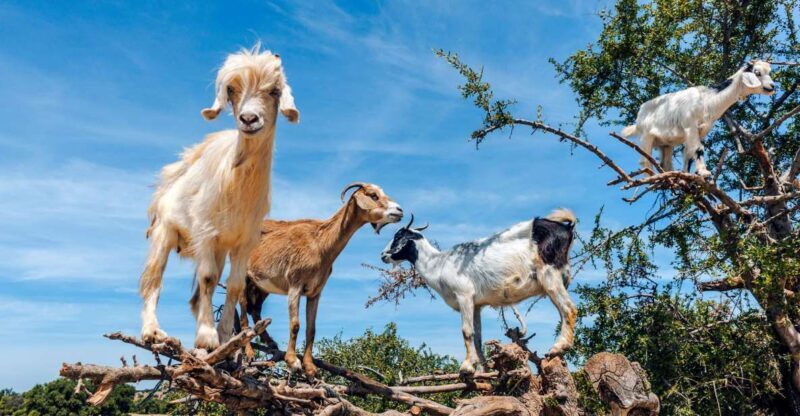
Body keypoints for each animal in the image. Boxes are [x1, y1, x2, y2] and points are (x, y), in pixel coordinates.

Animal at [139, 45, 300, 351]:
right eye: (231, 89)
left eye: (274, 90)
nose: (249, 119)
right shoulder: (205, 232)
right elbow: (208, 277)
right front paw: (206, 337)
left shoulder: (243, 241)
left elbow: (234, 286)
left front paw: (225, 336)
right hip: (164, 231)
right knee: (152, 280)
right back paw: (152, 332)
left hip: (220, 248)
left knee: (196, 295)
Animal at [242, 183, 403, 377]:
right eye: (373, 195)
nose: (399, 210)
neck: (320, 243)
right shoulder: (295, 284)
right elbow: (295, 324)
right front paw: (292, 361)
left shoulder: (315, 291)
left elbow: (311, 328)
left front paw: (310, 367)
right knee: (242, 310)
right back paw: (249, 353)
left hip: (261, 285)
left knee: (254, 309)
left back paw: (270, 343)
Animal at [381, 210, 577, 375]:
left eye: (398, 236)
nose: (383, 255)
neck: (439, 263)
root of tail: (566, 227)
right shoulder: (476, 305)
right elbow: (477, 337)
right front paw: (483, 370)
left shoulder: (464, 295)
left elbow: (466, 331)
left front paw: (466, 367)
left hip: (549, 274)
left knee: (569, 309)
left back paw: (558, 347)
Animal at [621, 61, 775, 177]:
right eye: (757, 72)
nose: (772, 86)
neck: (706, 100)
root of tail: (639, 116)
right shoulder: (690, 125)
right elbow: (698, 148)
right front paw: (704, 172)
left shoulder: (701, 131)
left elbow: (689, 153)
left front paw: (687, 174)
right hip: (646, 136)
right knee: (645, 161)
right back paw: (652, 177)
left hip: (666, 143)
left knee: (665, 162)